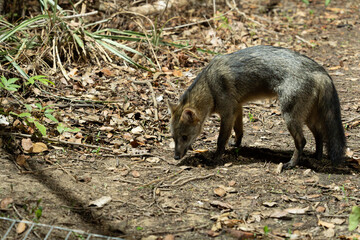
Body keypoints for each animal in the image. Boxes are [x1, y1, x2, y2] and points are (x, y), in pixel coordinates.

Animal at [169, 45, 346, 169]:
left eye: (184, 137)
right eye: (173, 137)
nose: (176, 157)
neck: (210, 86)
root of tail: (320, 70)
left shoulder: (227, 113)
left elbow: (220, 140)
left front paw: (216, 158)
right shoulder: (237, 108)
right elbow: (239, 131)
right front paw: (236, 145)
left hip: (290, 117)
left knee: (302, 141)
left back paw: (292, 163)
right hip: (307, 118)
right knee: (319, 135)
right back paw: (317, 156)